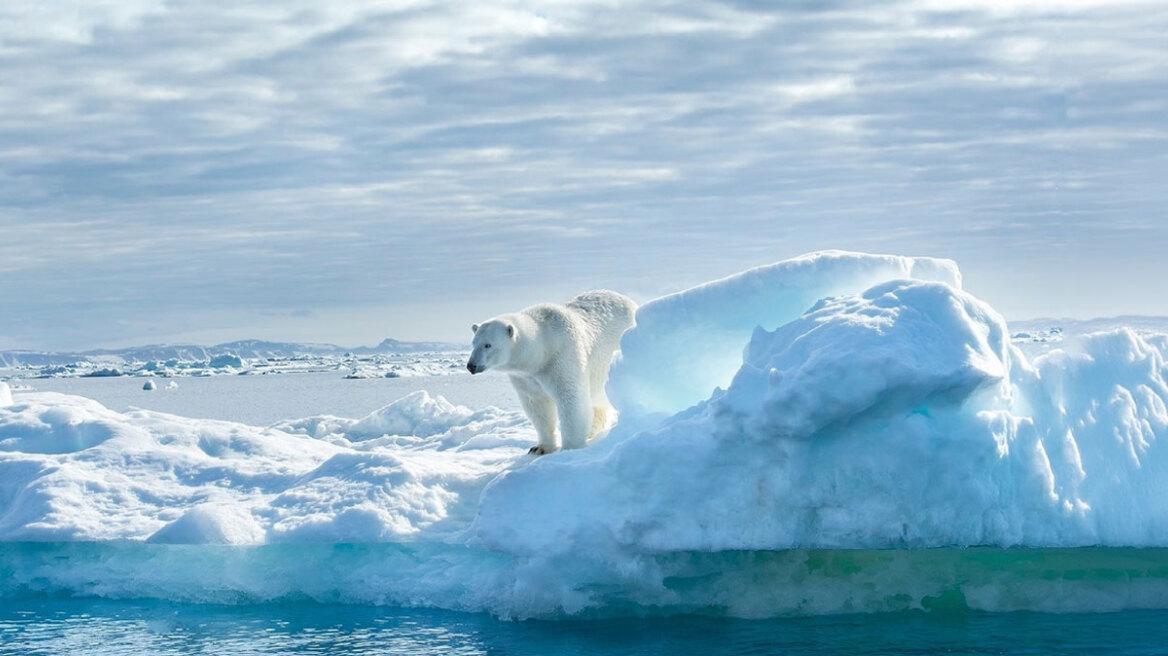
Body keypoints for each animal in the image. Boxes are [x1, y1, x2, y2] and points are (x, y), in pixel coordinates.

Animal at [467, 288, 640, 452]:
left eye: (488, 345)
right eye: (474, 343)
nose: (471, 366)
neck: (544, 346)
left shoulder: (562, 357)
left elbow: (570, 398)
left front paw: (570, 446)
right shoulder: (525, 376)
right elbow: (537, 405)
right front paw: (540, 447)